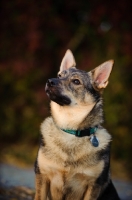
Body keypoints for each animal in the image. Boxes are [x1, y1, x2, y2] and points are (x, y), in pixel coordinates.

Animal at [34, 49, 120, 199]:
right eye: (59, 75)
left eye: (76, 81)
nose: (50, 81)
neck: (70, 131)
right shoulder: (42, 176)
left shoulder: (94, 185)